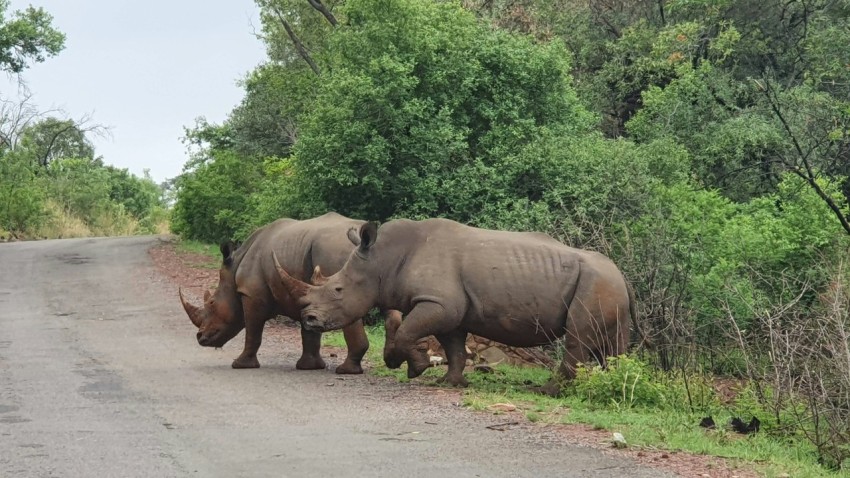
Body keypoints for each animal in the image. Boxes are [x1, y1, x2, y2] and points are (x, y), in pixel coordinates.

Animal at [179, 212, 395, 374]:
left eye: (212, 303)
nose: (199, 337)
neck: (233, 272)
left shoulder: (252, 294)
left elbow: (253, 330)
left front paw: (240, 365)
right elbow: (309, 331)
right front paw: (309, 367)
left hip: (334, 252)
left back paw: (346, 370)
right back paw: (391, 360)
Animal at [274, 218, 634, 395]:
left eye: (337, 290)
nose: (309, 319)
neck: (382, 261)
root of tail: (623, 274)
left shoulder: (440, 303)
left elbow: (408, 331)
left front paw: (414, 368)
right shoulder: (452, 310)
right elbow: (454, 347)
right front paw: (450, 383)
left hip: (597, 283)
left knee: (577, 339)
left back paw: (548, 392)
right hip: (608, 285)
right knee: (611, 345)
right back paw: (609, 389)